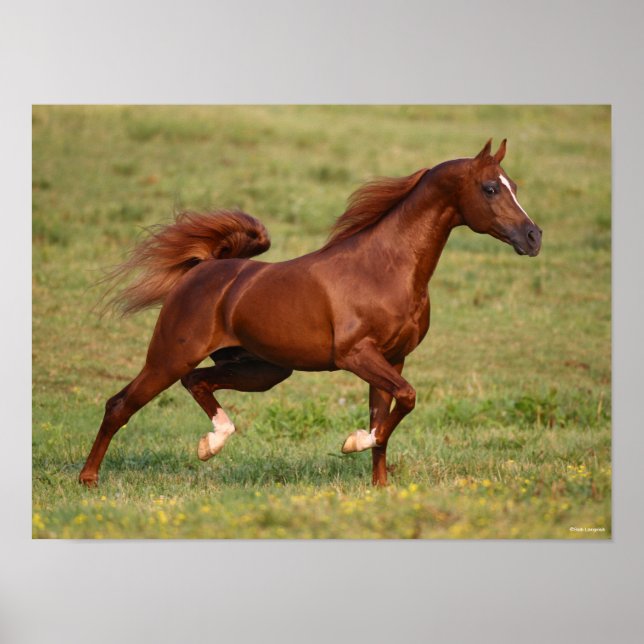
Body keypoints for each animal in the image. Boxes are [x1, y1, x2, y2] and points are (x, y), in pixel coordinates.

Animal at [79, 139, 541, 488]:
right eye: (490, 188)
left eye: (515, 185)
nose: (533, 237)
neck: (385, 268)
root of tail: (202, 269)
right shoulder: (356, 355)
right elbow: (404, 401)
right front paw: (352, 442)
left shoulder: (392, 359)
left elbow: (386, 418)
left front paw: (379, 487)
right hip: (170, 357)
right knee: (119, 405)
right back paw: (89, 479)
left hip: (263, 370)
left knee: (198, 382)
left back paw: (211, 444)